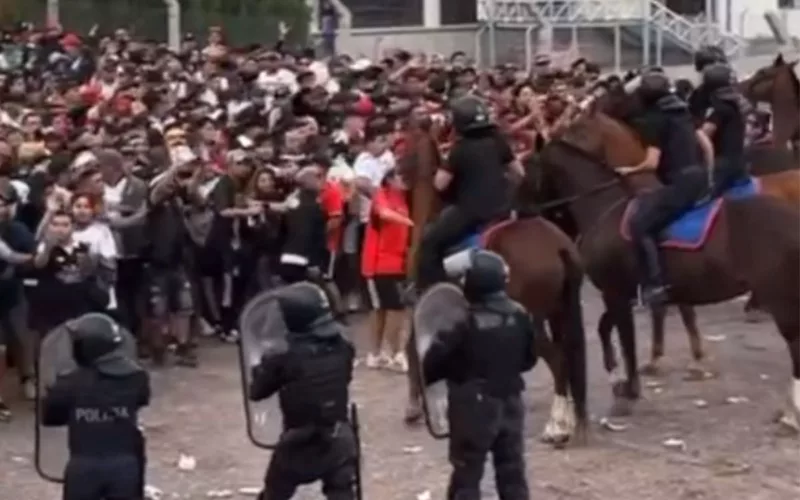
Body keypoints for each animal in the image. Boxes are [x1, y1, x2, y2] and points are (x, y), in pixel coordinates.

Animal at [400, 116, 588, 446]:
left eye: (405, 145)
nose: (393, 175)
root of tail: (557, 245)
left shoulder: (422, 306)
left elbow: (413, 351)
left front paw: (416, 408)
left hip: (533, 319)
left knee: (558, 359)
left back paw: (556, 426)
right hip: (560, 310)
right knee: (568, 354)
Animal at [524, 107, 800, 432]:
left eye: (527, 169)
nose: (519, 212)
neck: (606, 206)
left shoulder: (617, 293)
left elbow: (627, 340)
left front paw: (630, 391)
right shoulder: (625, 293)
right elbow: (607, 328)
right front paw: (619, 379)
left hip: (780, 295)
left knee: (794, 343)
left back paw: (791, 414)